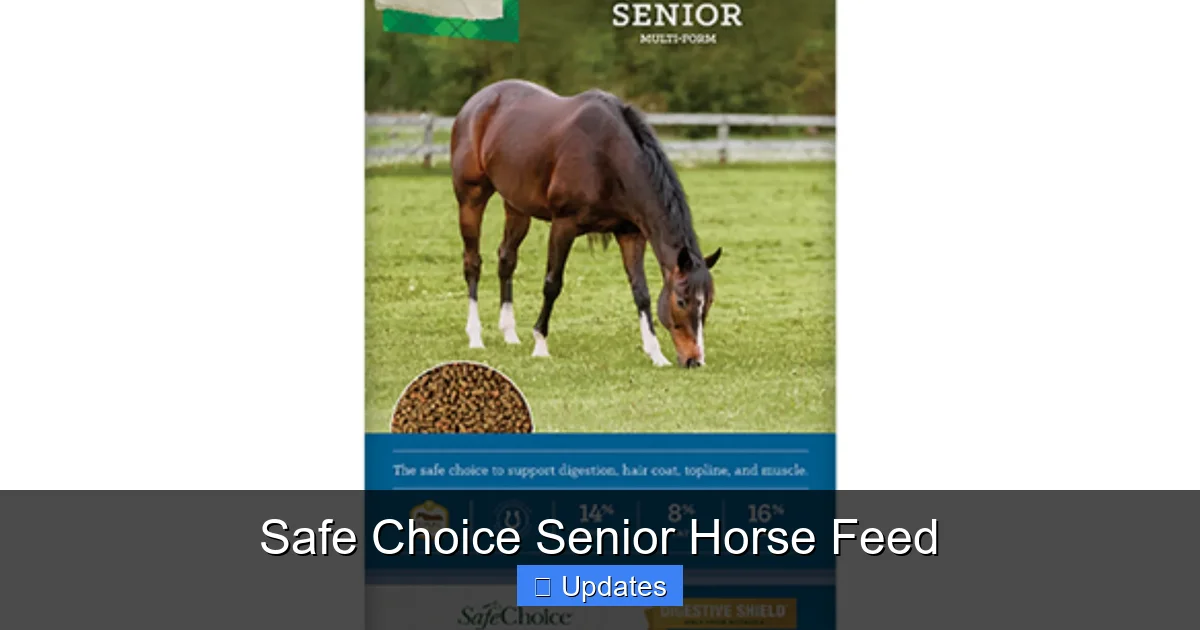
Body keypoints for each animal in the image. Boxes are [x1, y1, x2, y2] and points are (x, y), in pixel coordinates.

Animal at [449, 79, 721, 368]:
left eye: (708, 302)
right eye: (681, 301)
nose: (695, 360)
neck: (608, 156)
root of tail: (477, 102)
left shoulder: (630, 233)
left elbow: (642, 293)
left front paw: (656, 353)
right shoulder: (563, 226)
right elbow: (552, 284)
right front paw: (540, 344)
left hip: (516, 207)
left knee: (506, 259)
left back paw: (509, 333)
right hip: (471, 199)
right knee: (472, 263)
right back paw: (475, 337)